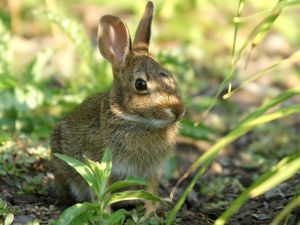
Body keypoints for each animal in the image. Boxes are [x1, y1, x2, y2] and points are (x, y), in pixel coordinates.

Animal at [50, 0, 184, 210]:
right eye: (140, 84)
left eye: (170, 75)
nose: (179, 110)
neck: (134, 119)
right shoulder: (103, 167)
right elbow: (102, 194)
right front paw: (106, 213)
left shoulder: (152, 173)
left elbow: (150, 195)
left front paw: (151, 214)